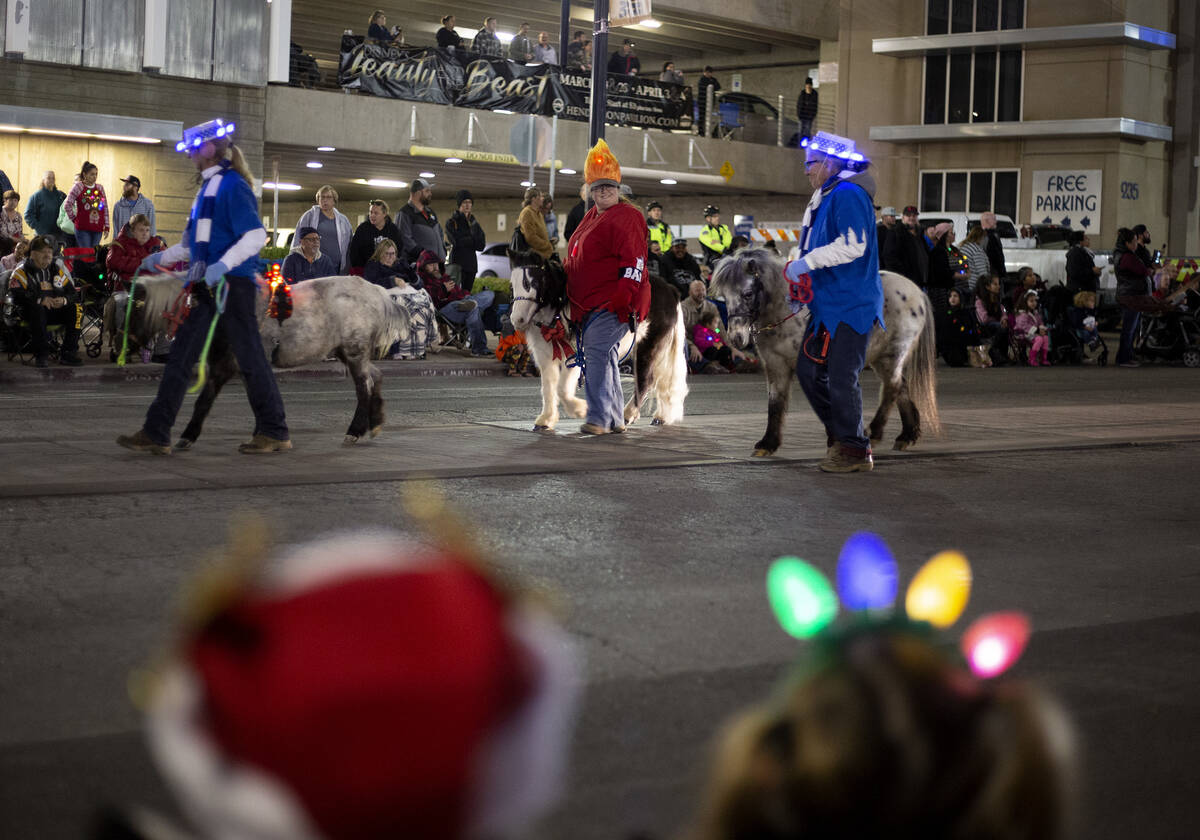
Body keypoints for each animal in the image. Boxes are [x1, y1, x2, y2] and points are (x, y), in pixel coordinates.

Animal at [112, 273, 412, 446]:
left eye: (135, 308)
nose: (123, 343)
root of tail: (379, 293)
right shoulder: (225, 366)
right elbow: (212, 399)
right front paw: (188, 435)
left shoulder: (235, 364)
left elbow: (247, 397)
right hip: (347, 352)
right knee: (375, 377)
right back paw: (375, 421)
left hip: (354, 352)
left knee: (363, 388)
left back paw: (356, 429)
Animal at [705, 247, 940, 456]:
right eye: (723, 298)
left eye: (747, 293)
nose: (736, 337)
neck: (789, 313)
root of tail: (916, 292)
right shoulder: (776, 364)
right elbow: (775, 402)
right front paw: (767, 444)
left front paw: (837, 440)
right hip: (882, 357)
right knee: (900, 387)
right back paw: (906, 436)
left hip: (895, 352)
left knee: (892, 387)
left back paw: (875, 432)